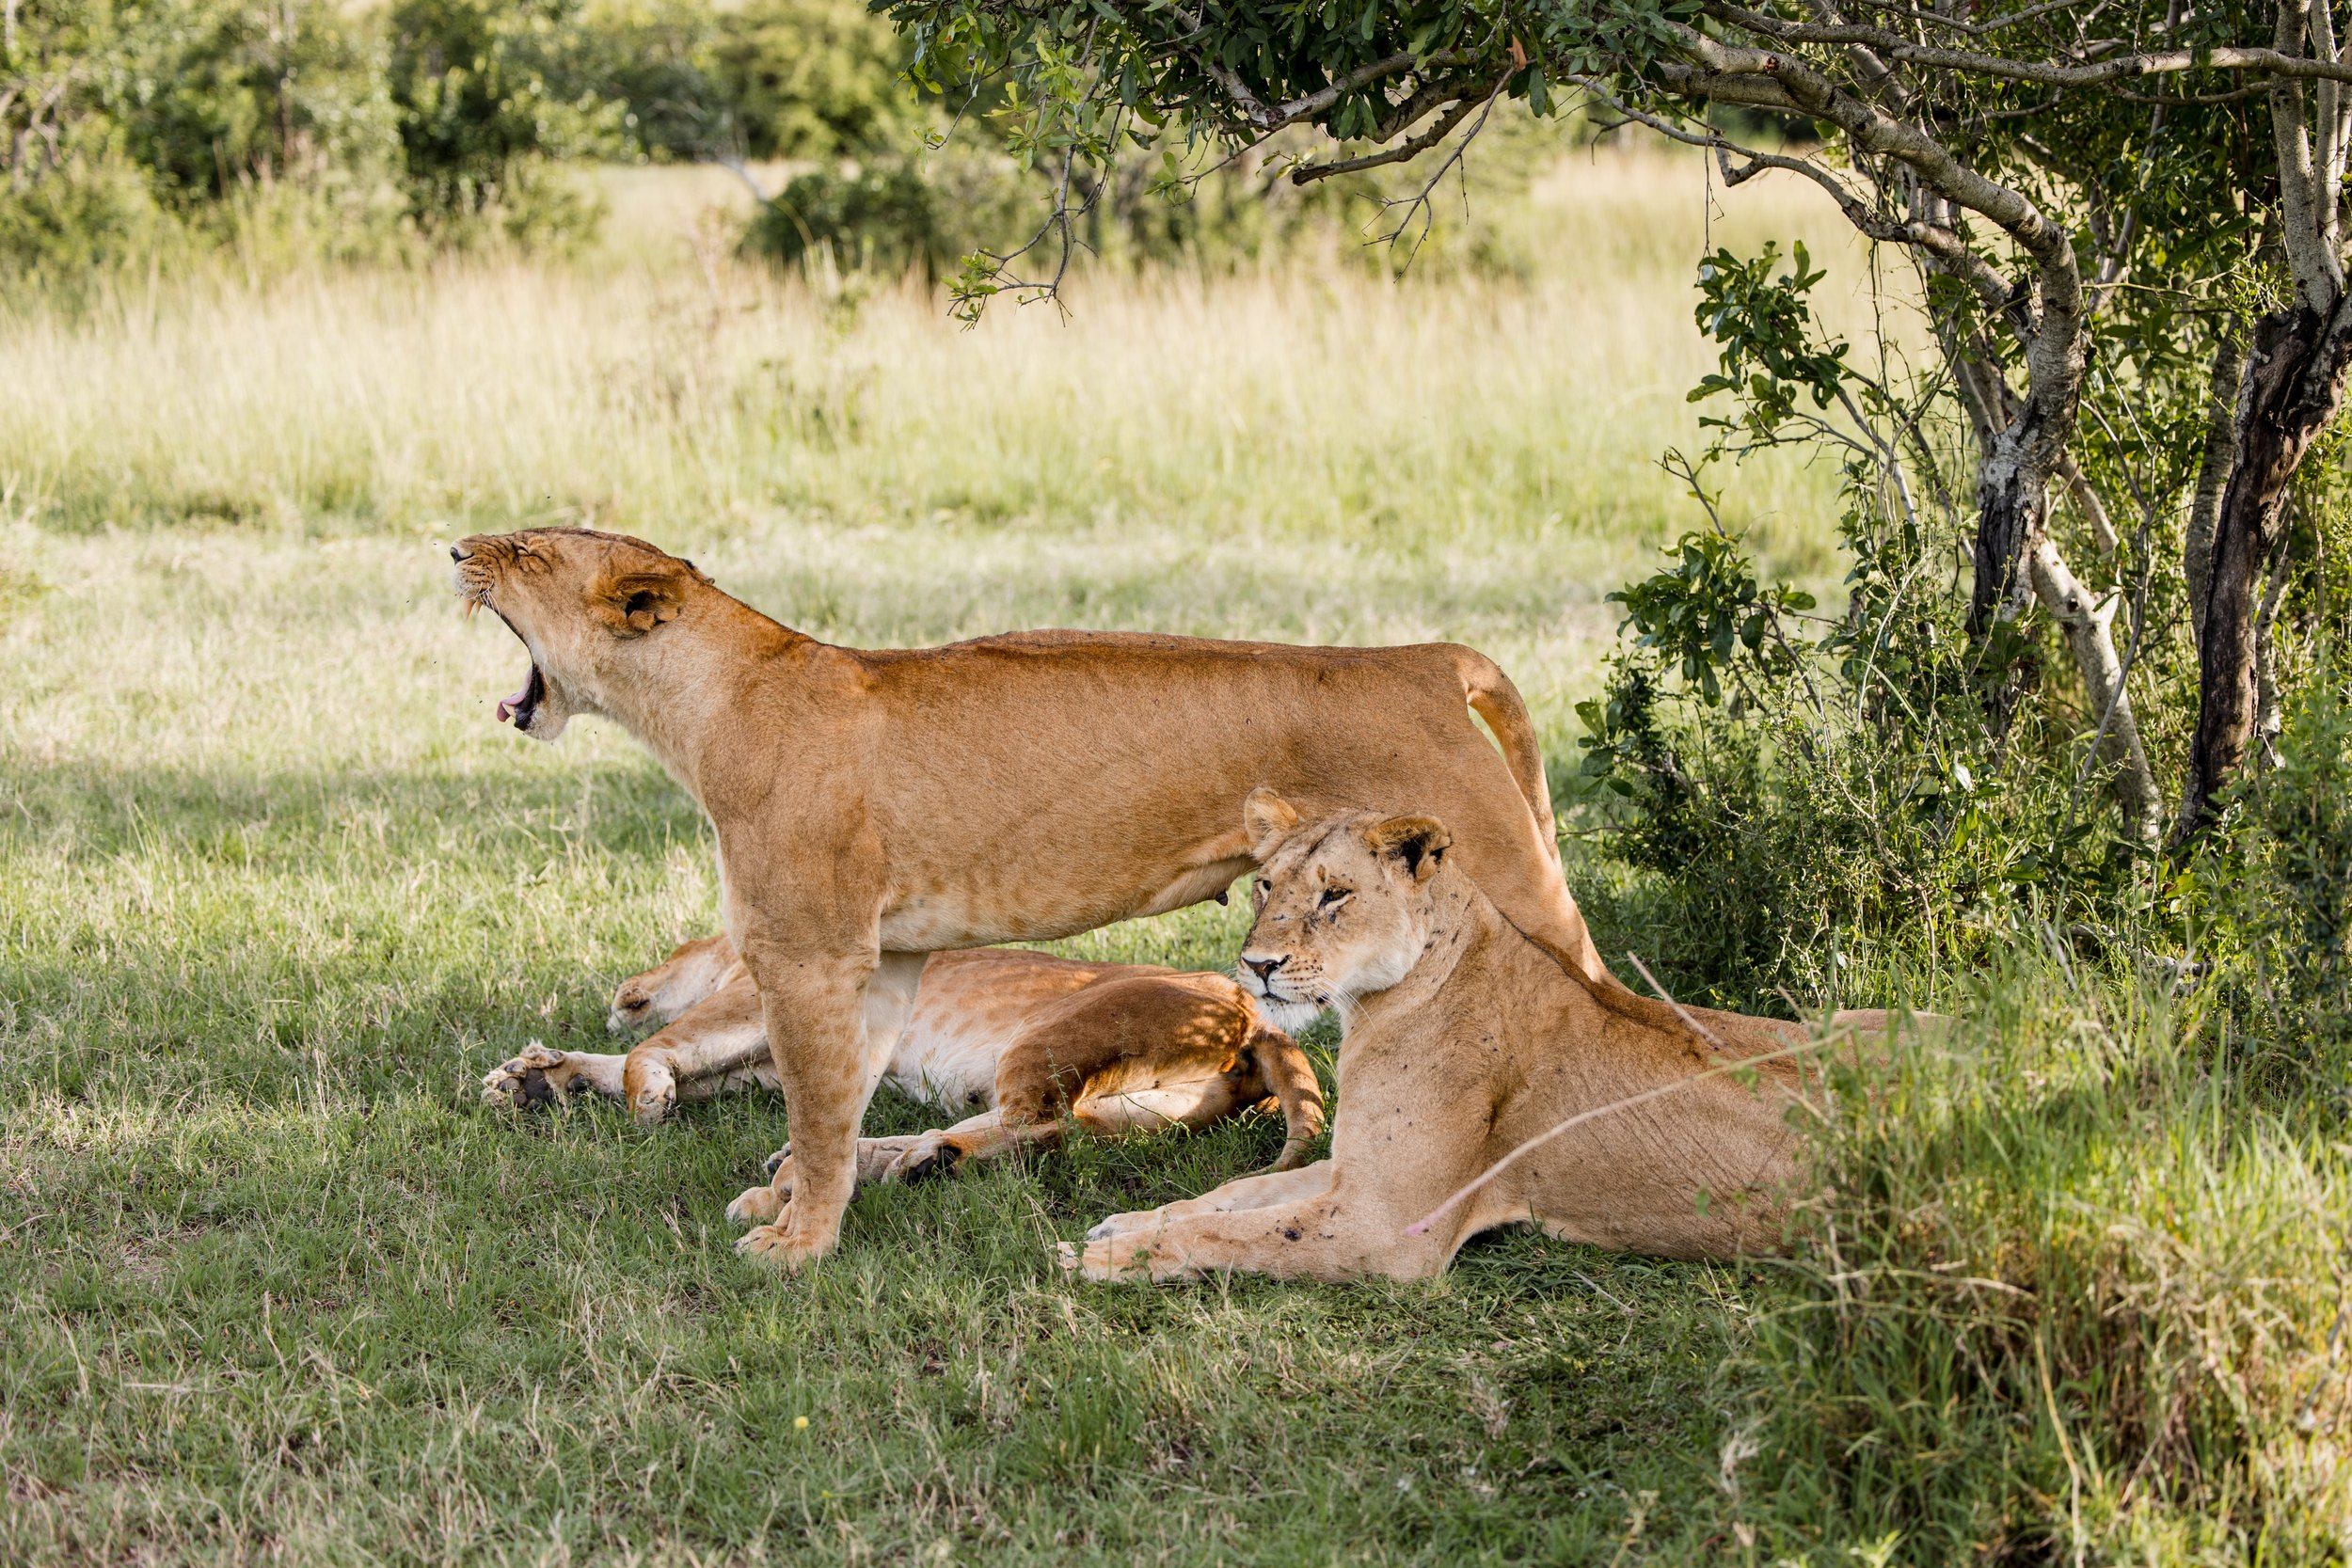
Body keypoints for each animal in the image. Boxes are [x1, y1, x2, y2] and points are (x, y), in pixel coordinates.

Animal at [482, 930, 1327, 1189]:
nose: (620, 992)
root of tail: (1254, 1011)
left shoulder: (752, 1008)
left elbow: (650, 1049)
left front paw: (636, 1093)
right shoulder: (756, 1062)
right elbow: (633, 1060)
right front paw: (533, 1079)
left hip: (1051, 1036)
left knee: (1035, 1123)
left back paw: (912, 1159)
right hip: (1142, 1111)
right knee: (1061, 1131)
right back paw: (898, 1157)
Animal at [1077, 789, 1919, 1278]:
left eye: (1335, 895)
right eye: (1264, 884)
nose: (1256, 966)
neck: (1378, 1003)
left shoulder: (1388, 1228)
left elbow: (1239, 1236)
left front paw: (1111, 1256)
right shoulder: (1356, 1174)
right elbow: (1237, 1195)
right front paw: (1124, 1223)